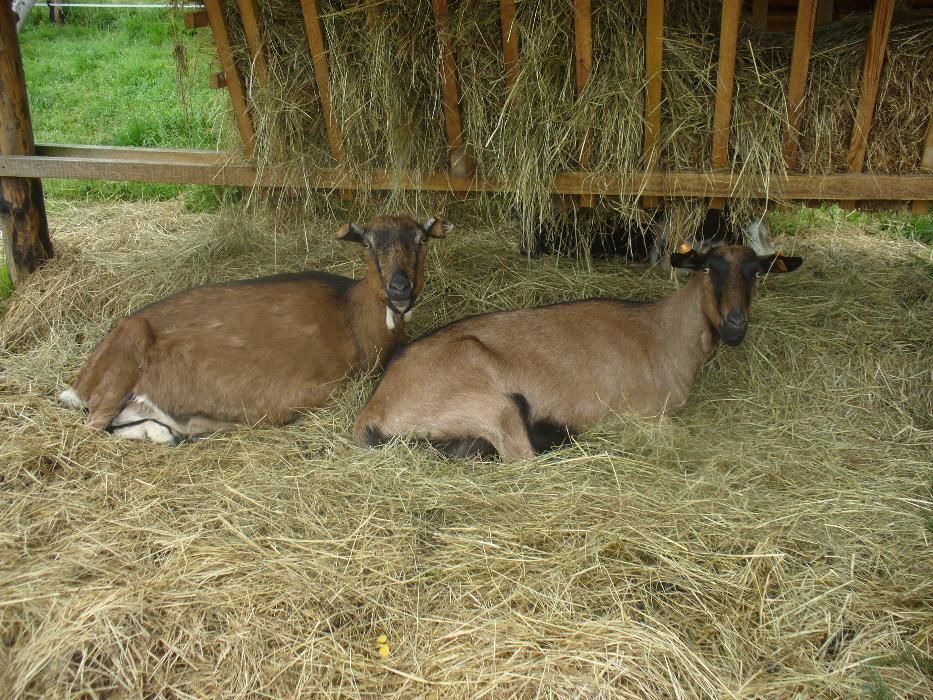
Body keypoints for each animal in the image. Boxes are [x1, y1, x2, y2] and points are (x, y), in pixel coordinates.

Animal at [59, 215, 452, 442]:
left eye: (421, 240)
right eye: (368, 243)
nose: (399, 289)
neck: (352, 316)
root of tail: (82, 381)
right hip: (120, 369)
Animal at [354, 243, 804, 462]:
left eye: (756, 273)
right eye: (709, 268)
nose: (735, 324)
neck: (663, 332)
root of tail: (372, 412)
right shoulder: (645, 416)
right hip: (489, 404)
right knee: (523, 457)